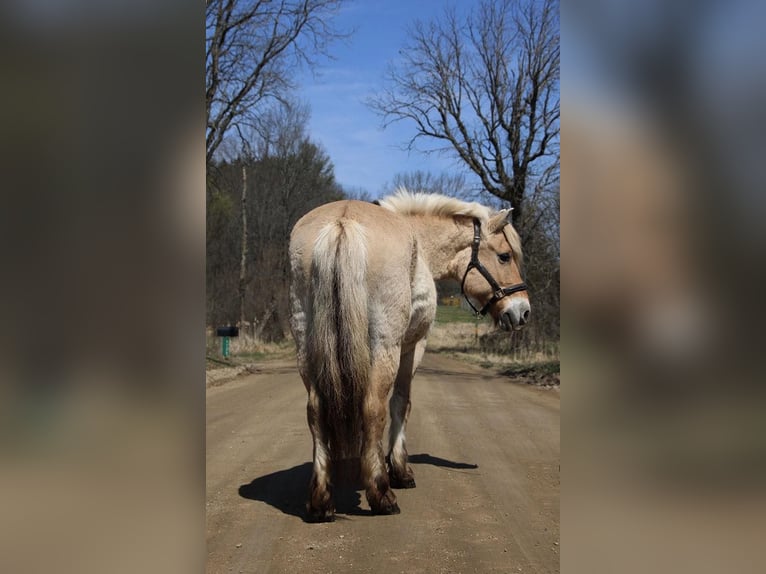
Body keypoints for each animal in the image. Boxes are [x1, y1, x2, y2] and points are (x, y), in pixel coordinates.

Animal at [288, 190, 536, 520]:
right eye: (504, 256)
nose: (522, 311)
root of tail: (343, 222)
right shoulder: (413, 347)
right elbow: (400, 404)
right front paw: (400, 470)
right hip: (385, 346)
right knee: (373, 408)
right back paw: (381, 495)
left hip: (306, 347)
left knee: (315, 411)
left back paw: (320, 501)